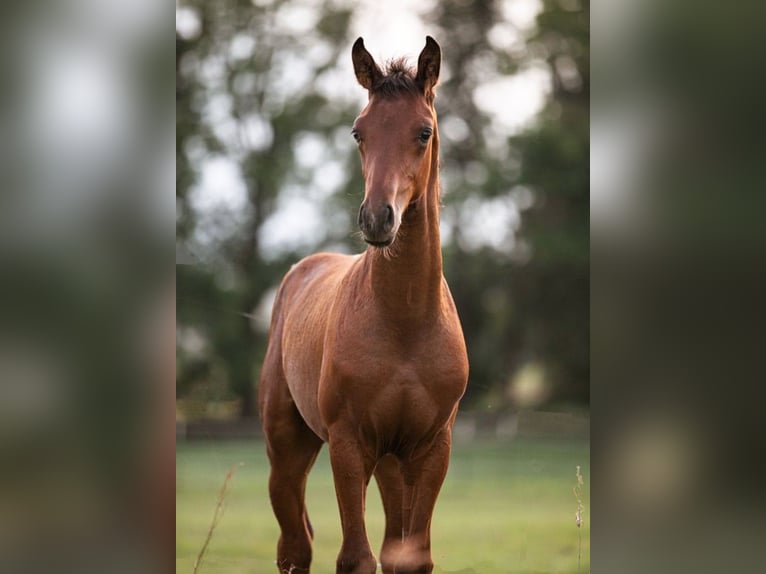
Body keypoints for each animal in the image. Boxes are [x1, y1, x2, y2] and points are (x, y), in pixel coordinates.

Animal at [260, 37, 472, 574]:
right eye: (359, 131)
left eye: (423, 132)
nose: (378, 218)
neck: (405, 323)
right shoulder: (348, 444)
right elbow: (356, 557)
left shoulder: (431, 449)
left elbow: (410, 557)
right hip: (288, 450)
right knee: (295, 546)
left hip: (393, 466)